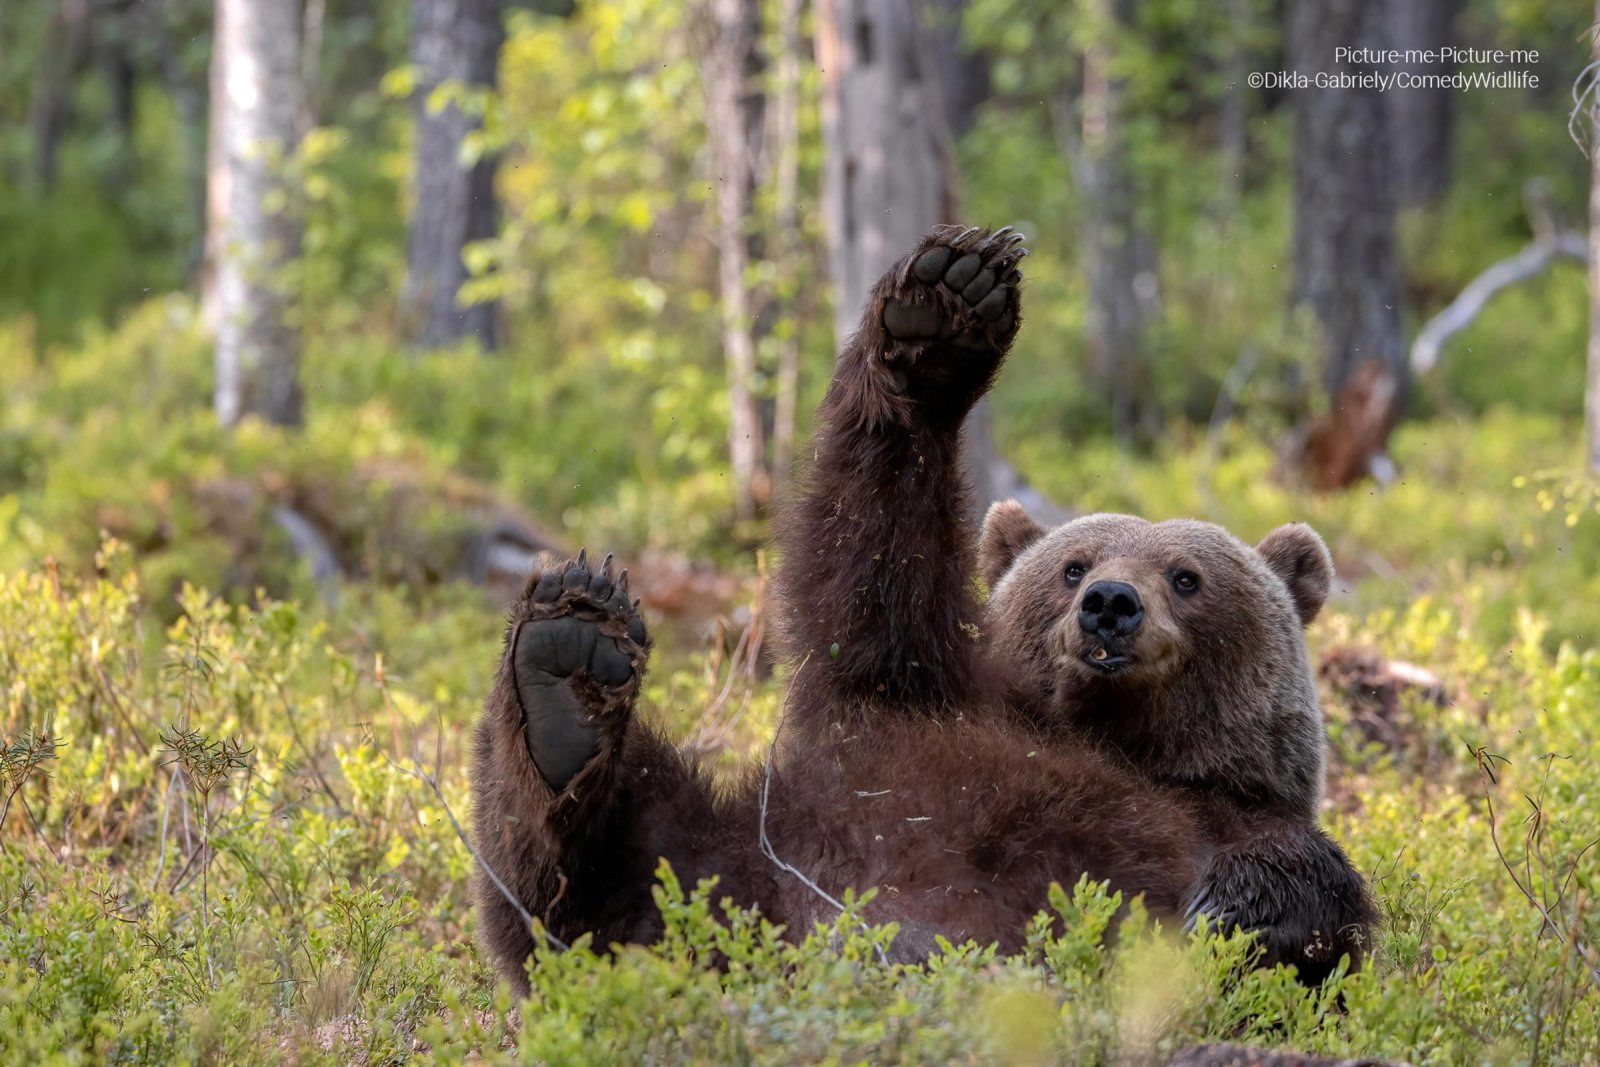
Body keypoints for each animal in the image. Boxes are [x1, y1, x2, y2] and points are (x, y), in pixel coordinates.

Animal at [467, 223, 1369, 991]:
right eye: (1072, 565)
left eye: (1187, 576)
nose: (1111, 604)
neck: (1115, 739)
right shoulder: (903, 705)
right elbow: (869, 566)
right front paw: (942, 314)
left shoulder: (1229, 813)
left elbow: (1314, 900)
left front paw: (1233, 911)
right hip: (739, 872)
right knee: (605, 877)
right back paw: (567, 671)